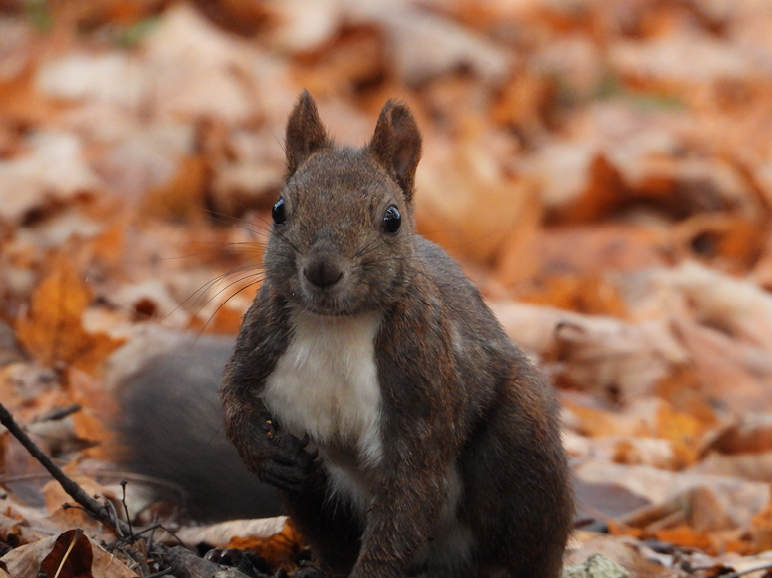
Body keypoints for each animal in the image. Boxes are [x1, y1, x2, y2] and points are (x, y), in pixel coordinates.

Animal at [219, 91, 572, 576]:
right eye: (278, 210)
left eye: (392, 218)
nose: (322, 269)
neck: (335, 326)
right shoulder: (261, 339)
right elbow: (234, 397)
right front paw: (264, 450)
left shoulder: (422, 387)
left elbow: (408, 494)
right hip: (319, 495)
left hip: (523, 441)